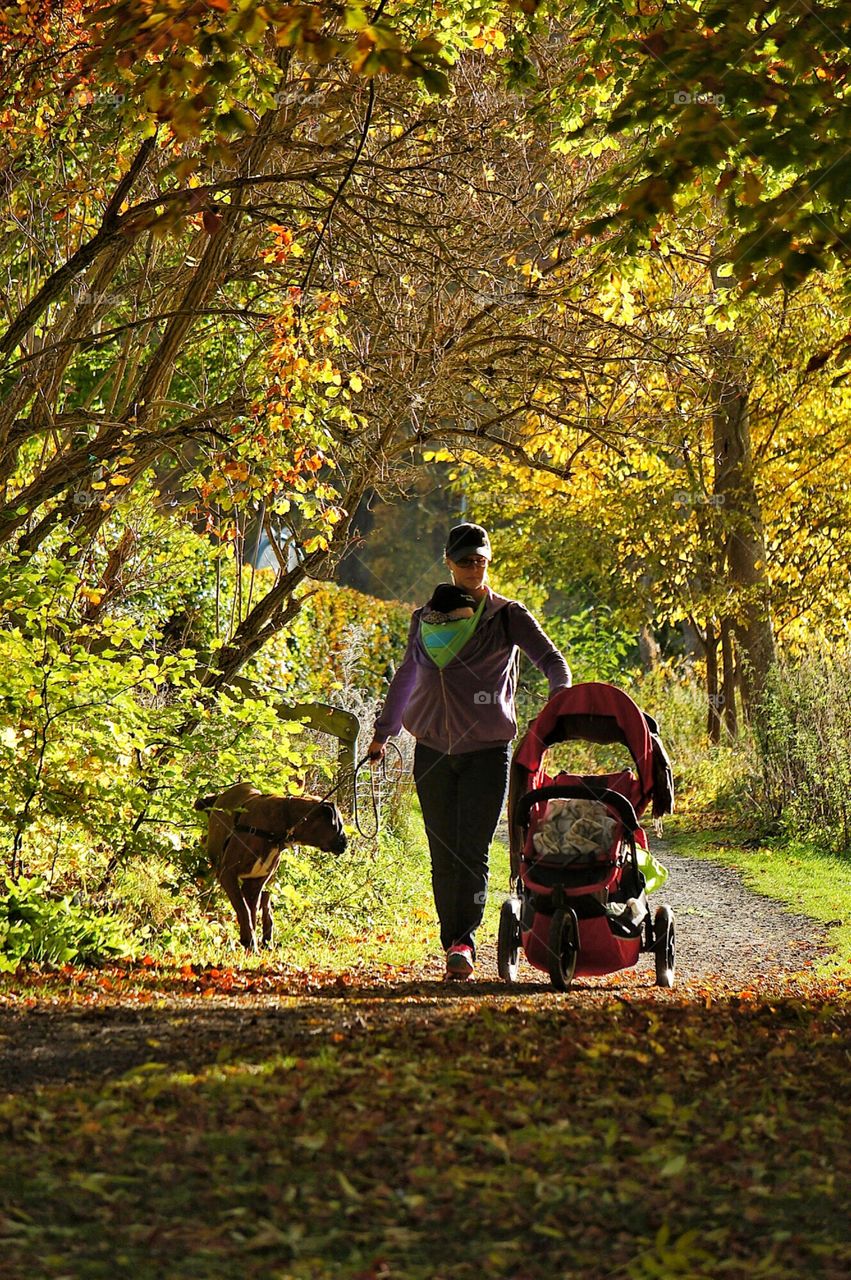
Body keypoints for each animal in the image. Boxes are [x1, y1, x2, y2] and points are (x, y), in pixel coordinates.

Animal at [194, 778, 348, 952]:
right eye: (340, 825)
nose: (346, 843)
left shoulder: (255, 884)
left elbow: (251, 912)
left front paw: (250, 941)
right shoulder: (228, 874)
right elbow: (243, 909)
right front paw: (249, 941)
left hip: (269, 883)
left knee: (266, 910)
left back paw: (267, 940)